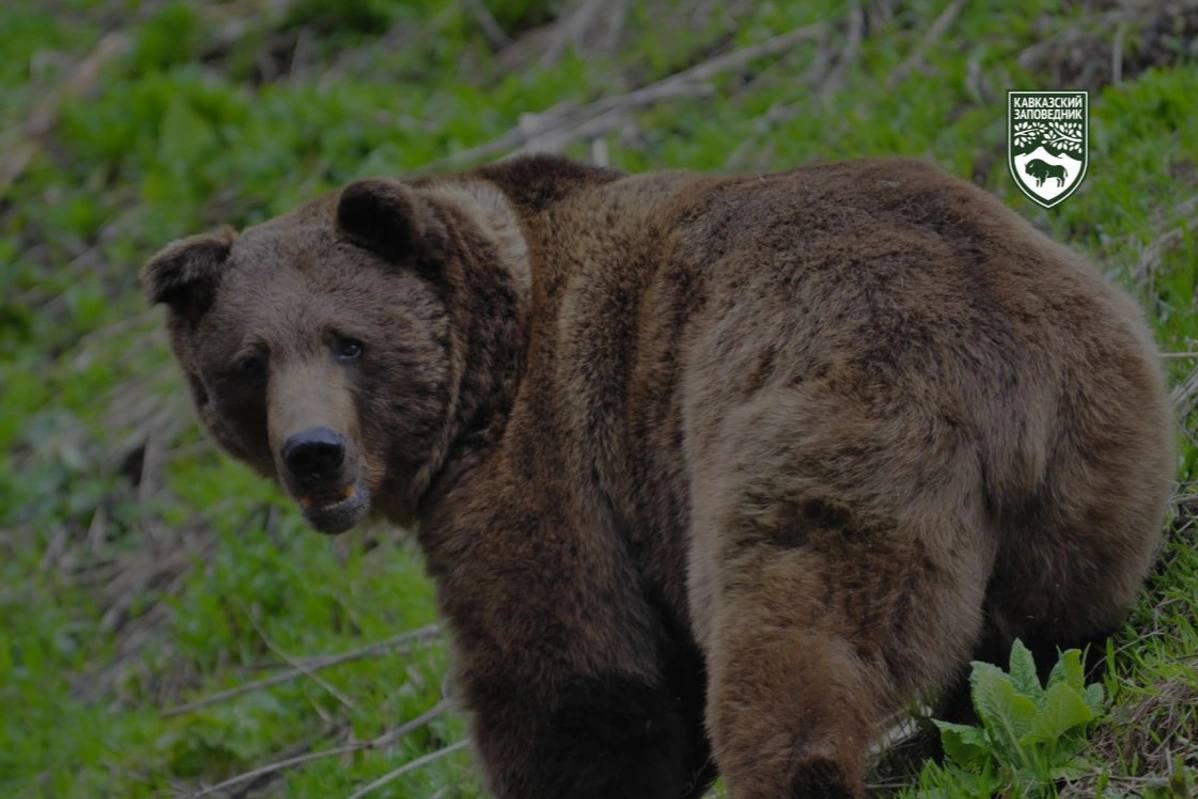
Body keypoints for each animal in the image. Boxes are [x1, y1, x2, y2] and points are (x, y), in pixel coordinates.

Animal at [140, 158, 1169, 799]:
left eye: (347, 341)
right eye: (249, 362)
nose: (314, 451)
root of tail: (1001, 379)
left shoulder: (548, 470)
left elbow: (572, 680)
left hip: (814, 431)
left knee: (794, 633)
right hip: (1104, 444)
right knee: (1055, 631)